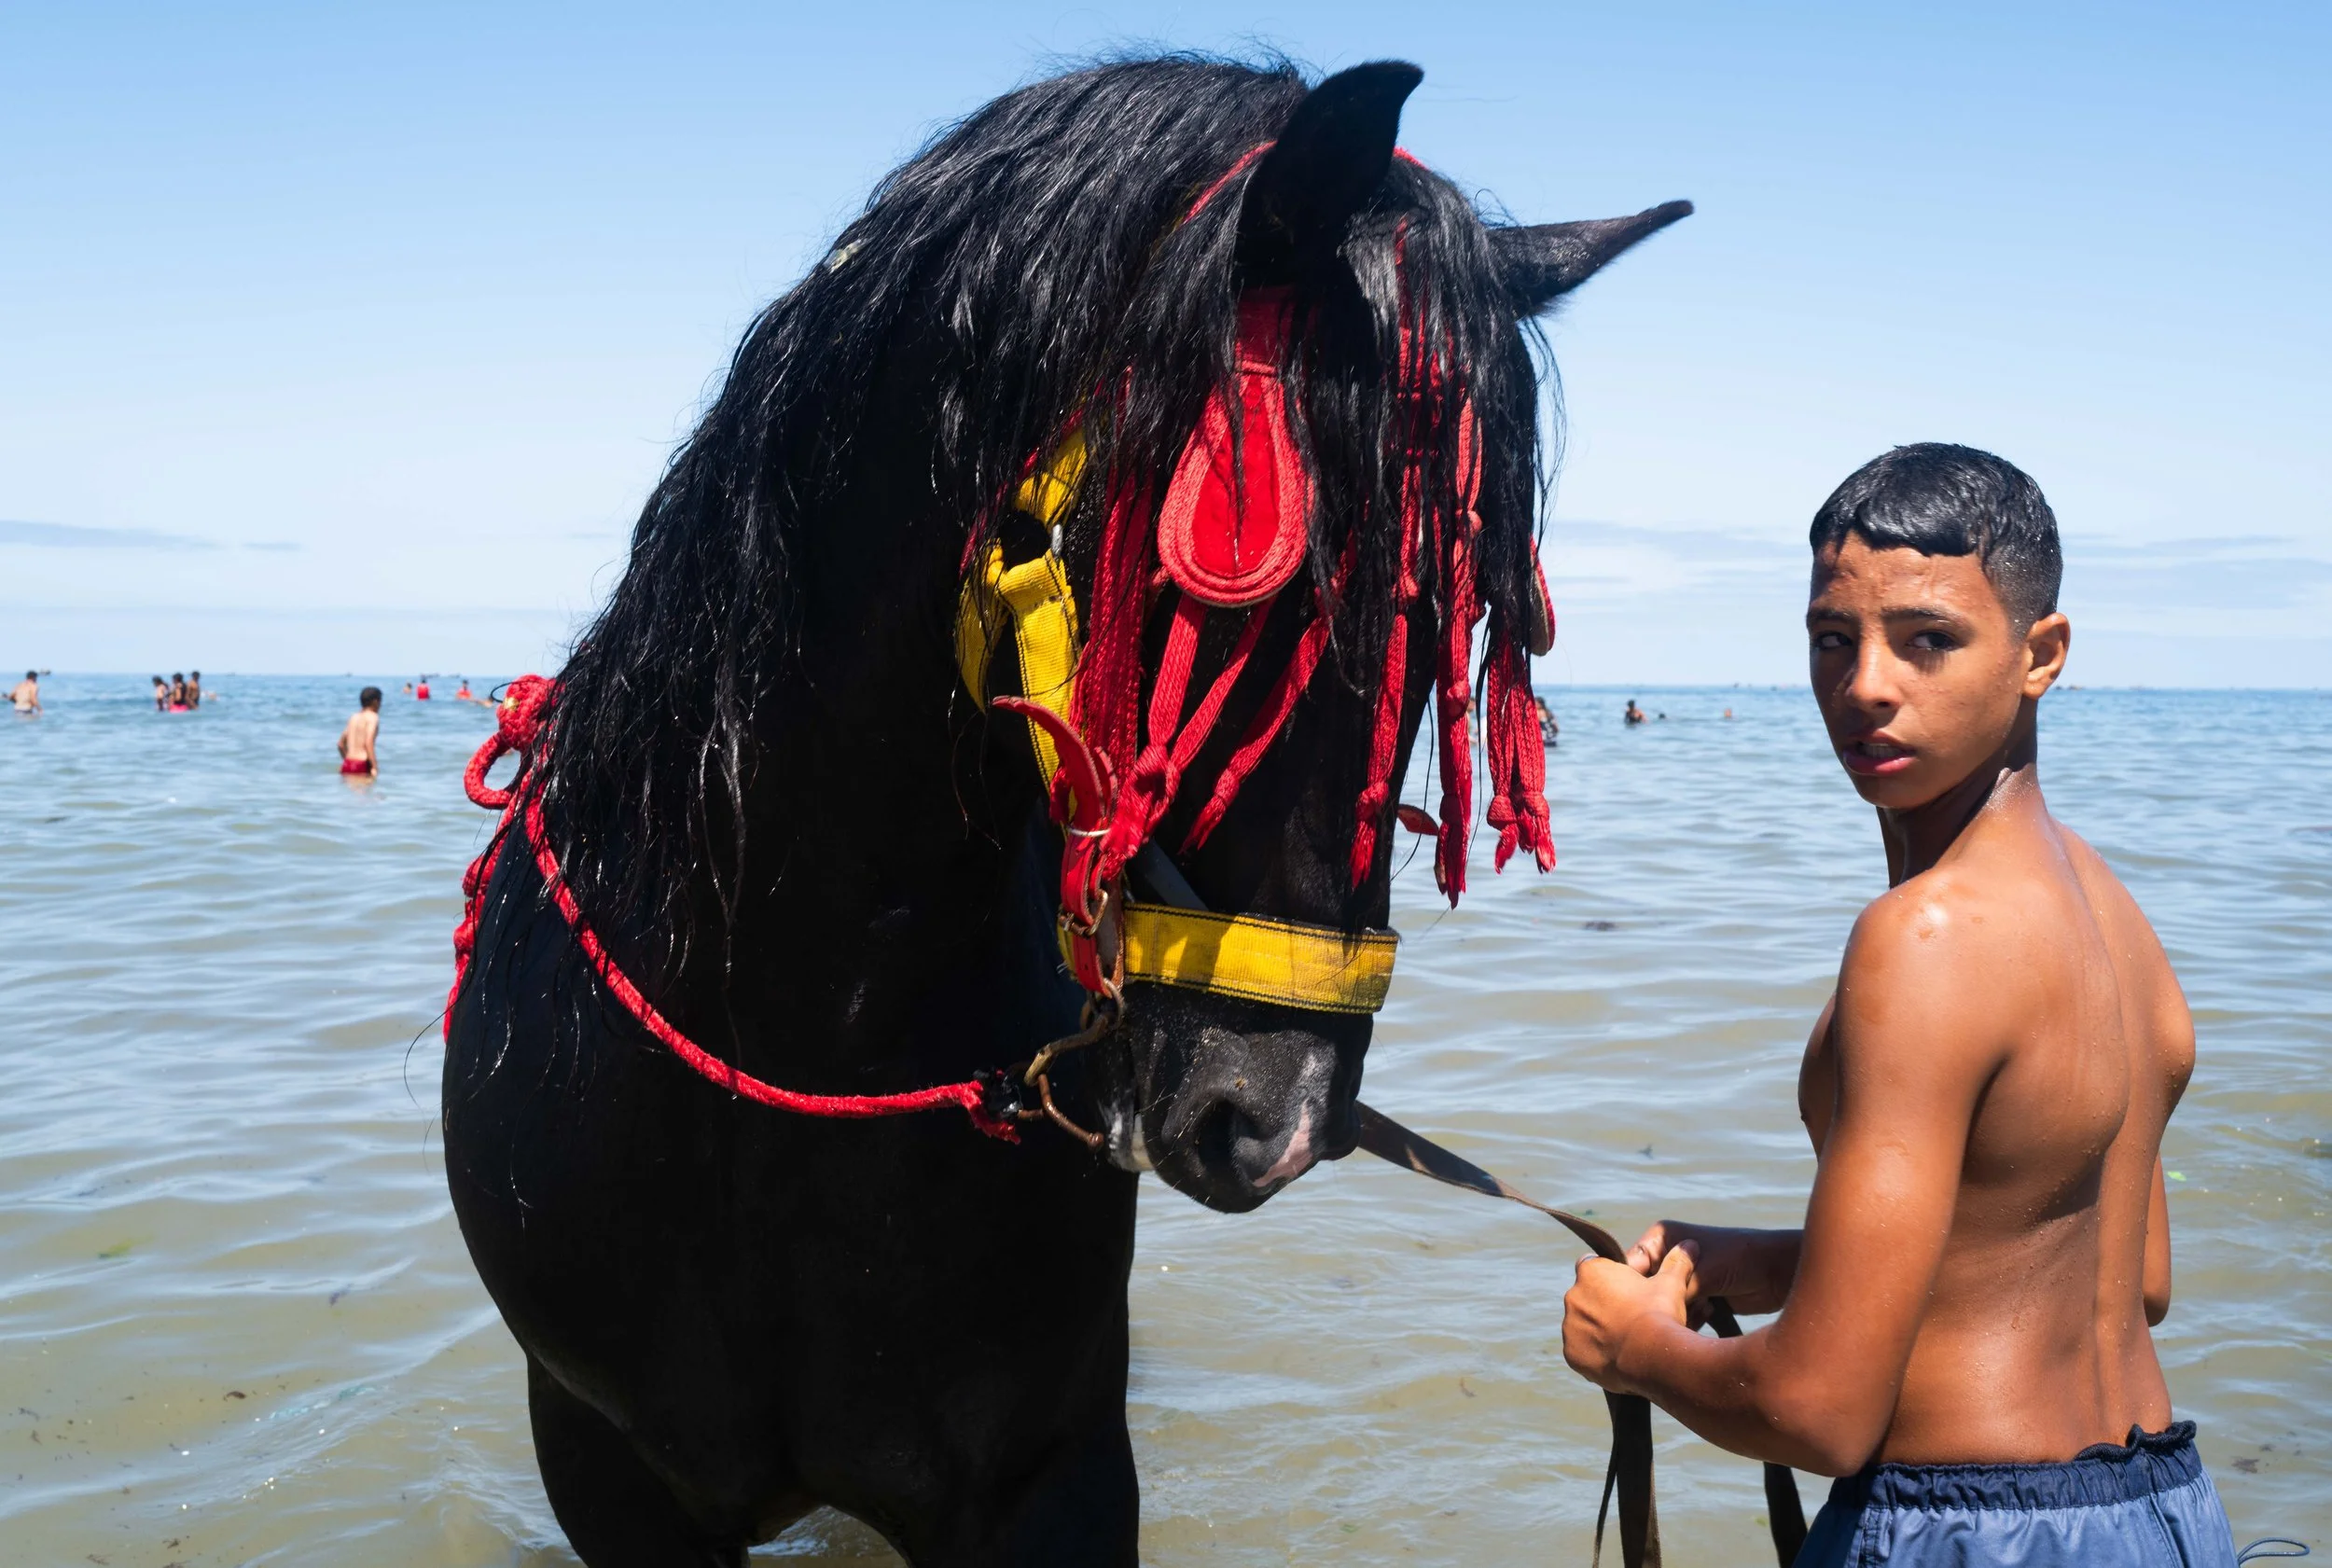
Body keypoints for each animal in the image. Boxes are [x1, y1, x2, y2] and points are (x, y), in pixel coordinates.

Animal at [443, 55, 1687, 1567]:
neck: (787, 1056)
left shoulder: (1050, 1475)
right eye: (1258, 586)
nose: (1282, 1116)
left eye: (1463, 623)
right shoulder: (606, 1468)